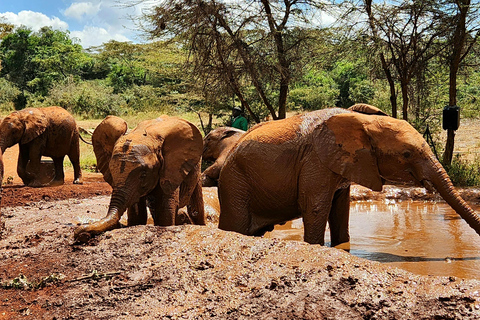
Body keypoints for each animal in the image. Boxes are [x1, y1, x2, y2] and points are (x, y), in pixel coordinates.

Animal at [74, 115, 205, 242]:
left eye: (143, 174)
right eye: (111, 172)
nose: (80, 234)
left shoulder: (170, 169)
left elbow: (165, 212)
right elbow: (137, 214)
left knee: (196, 208)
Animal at [218, 106, 480, 246]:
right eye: (406, 154)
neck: (364, 122)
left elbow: (341, 209)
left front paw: (341, 246)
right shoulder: (316, 161)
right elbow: (316, 207)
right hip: (235, 182)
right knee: (235, 225)